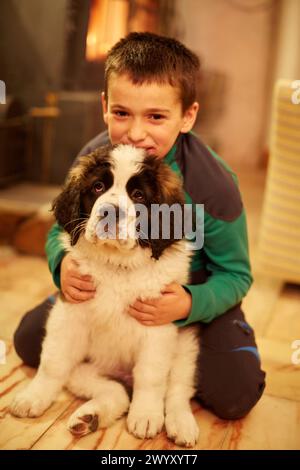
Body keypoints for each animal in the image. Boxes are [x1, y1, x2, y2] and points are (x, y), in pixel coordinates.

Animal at [10, 145, 200, 446]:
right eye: (98, 187)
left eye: (138, 195)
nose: (110, 211)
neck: (117, 265)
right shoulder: (68, 314)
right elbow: (52, 362)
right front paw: (33, 397)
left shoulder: (158, 327)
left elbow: (151, 377)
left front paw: (146, 415)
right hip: (84, 370)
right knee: (116, 392)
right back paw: (89, 417)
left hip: (185, 347)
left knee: (177, 390)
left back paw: (181, 424)